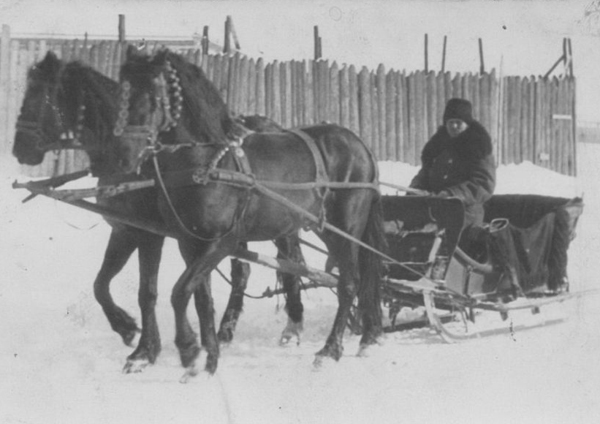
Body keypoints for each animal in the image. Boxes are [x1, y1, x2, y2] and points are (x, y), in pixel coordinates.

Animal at [11, 50, 304, 374]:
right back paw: (226, 329)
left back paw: (291, 326)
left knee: (289, 264)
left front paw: (147, 349)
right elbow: (102, 284)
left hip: (280, 225)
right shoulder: (125, 231)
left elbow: (147, 292)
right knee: (243, 270)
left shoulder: (150, 234)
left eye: (42, 96)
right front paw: (129, 331)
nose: (20, 149)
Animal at [112, 48, 384, 378]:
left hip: (344, 227)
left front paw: (189, 350)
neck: (209, 162)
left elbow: (180, 291)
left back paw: (330, 350)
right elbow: (200, 297)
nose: (124, 154)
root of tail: (359, 144)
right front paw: (209, 356)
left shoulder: (222, 241)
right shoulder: (189, 241)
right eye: (122, 91)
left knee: (349, 283)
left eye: (154, 96)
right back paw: (368, 336)